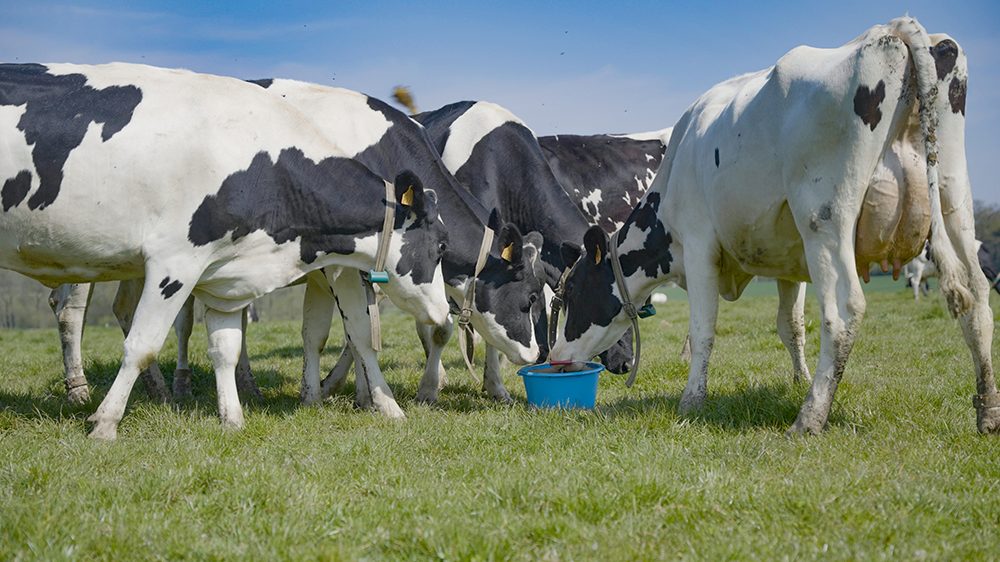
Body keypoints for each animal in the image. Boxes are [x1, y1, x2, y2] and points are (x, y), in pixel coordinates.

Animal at [1, 62, 459, 438]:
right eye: (439, 245)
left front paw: (232, 418)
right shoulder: (174, 265)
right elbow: (141, 345)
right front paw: (105, 422)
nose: (443, 315)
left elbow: (225, 347)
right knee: (73, 312)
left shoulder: (226, 277)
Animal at [549, 18, 1000, 435]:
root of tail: (889, 30)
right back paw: (988, 411)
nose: (555, 357)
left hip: (824, 218)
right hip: (953, 199)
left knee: (844, 311)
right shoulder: (788, 258)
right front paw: (799, 379)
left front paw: (692, 400)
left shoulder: (698, 244)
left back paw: (810, 418)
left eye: (571, 292)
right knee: (975, 296)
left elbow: (703, 329)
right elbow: (791, 327)